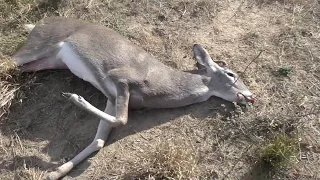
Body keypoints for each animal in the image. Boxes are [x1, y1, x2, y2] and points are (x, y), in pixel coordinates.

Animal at [11, 16, 254, 179]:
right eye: (231, 73)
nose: (251, 96)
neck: (158, 83)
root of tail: (38, 23)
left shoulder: (112, 97)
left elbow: (100, 139)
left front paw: (54, 173)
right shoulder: (119, 79)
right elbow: (122, 119)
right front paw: (74, 98)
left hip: (48, 61)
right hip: (38, 46)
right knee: (9, 60)